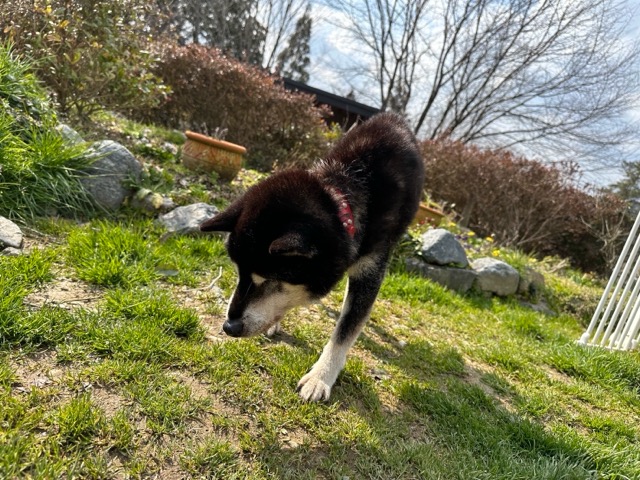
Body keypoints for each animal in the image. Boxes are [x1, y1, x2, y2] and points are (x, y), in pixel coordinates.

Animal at [200, 113, 425, 401]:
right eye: (239, 273)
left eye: (268, 279)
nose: (229, 327)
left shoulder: (370, 270)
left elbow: (344, 332)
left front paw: (320, 377)